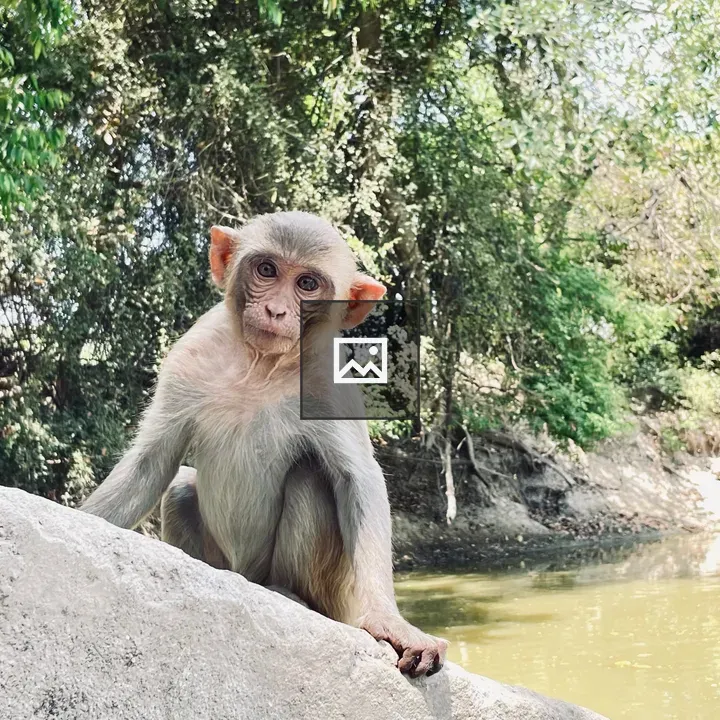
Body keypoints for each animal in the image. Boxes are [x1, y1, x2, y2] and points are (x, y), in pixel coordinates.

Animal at [81, 211, 447, 678]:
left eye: (307, 284)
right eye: (267, 270)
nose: (275, 309)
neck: (260, 366)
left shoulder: (331, 383)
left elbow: (358, 480)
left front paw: (389, 620)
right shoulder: (190, 355)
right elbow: (152, 463)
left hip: (335, 596)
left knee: (310, 478)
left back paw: (288, 593)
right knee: (180, 488)